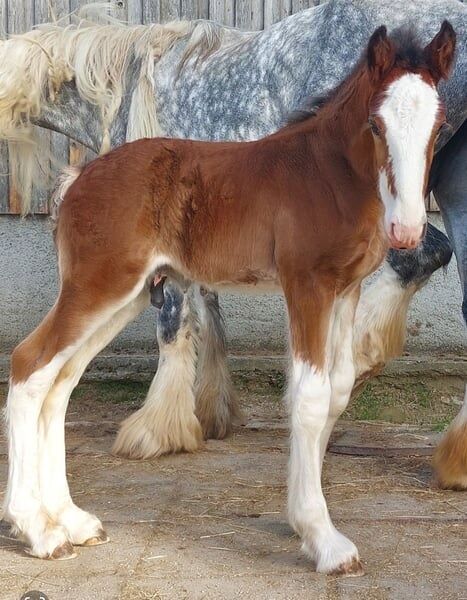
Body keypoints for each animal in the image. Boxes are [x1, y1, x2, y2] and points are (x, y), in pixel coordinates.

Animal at [3, 23, 458, 576]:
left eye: (439, 126)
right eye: (375, 124)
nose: (407, 229)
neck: (328, 173)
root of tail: (74, 181)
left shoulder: (345, 291)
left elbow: (338, 390)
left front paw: (303, 523)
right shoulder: (306, 286)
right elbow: (309, 397)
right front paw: (325, 540)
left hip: (121, 297)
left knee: (60, 382)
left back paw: (70, 520)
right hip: (96, 288)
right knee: (30, 366)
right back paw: (37, 529)